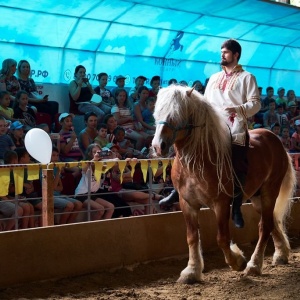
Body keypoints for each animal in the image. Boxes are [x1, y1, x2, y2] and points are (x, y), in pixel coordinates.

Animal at [151, 85, 296, 284]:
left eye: (176, 114)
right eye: (157, 112)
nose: (158, 146)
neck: (197, 161)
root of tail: (275, 140)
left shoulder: (220, 203)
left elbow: (222, 238)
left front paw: (238, 261)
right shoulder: (187, 203)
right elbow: (192, 237)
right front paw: (192, 271)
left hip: (269, 191)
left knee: (265, 225)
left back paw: (254, 265)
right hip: (257, 197)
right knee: (271, 221)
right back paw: (281, 254)